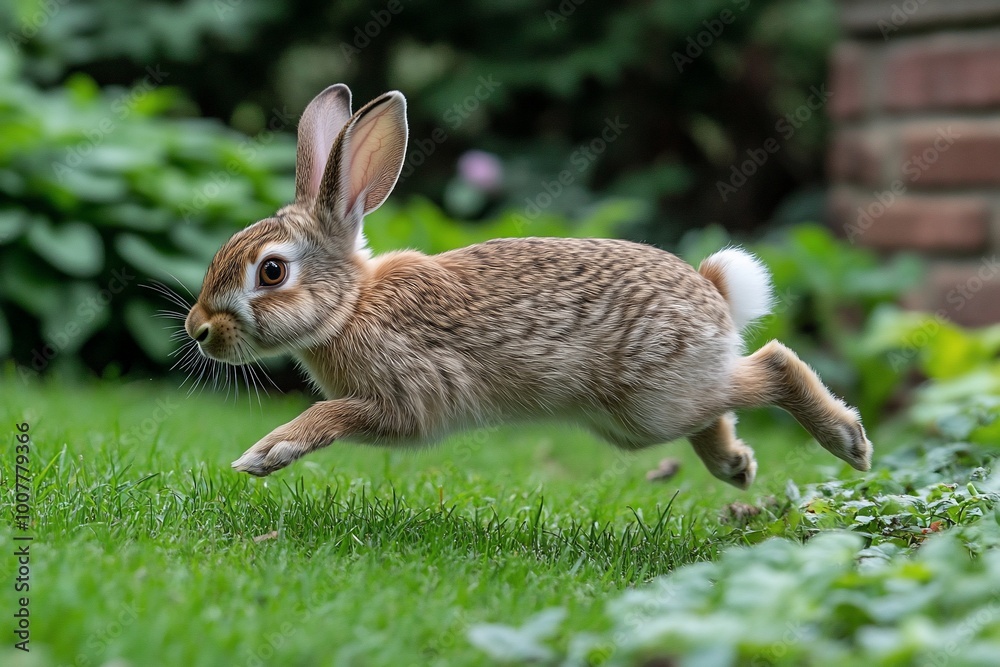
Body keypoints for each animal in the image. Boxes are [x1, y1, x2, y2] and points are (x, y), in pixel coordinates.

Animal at [184, 84, 872, 488]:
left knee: (770, 366)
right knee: (724, 402)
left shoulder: (400, 401)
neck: (352, 306)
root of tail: (716, 294)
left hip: (653, 400)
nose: (198, 330)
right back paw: (735, 466)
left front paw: (265, 453)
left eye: (272, 271)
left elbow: (332, 414)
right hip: (642, 417)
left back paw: (849, 442)